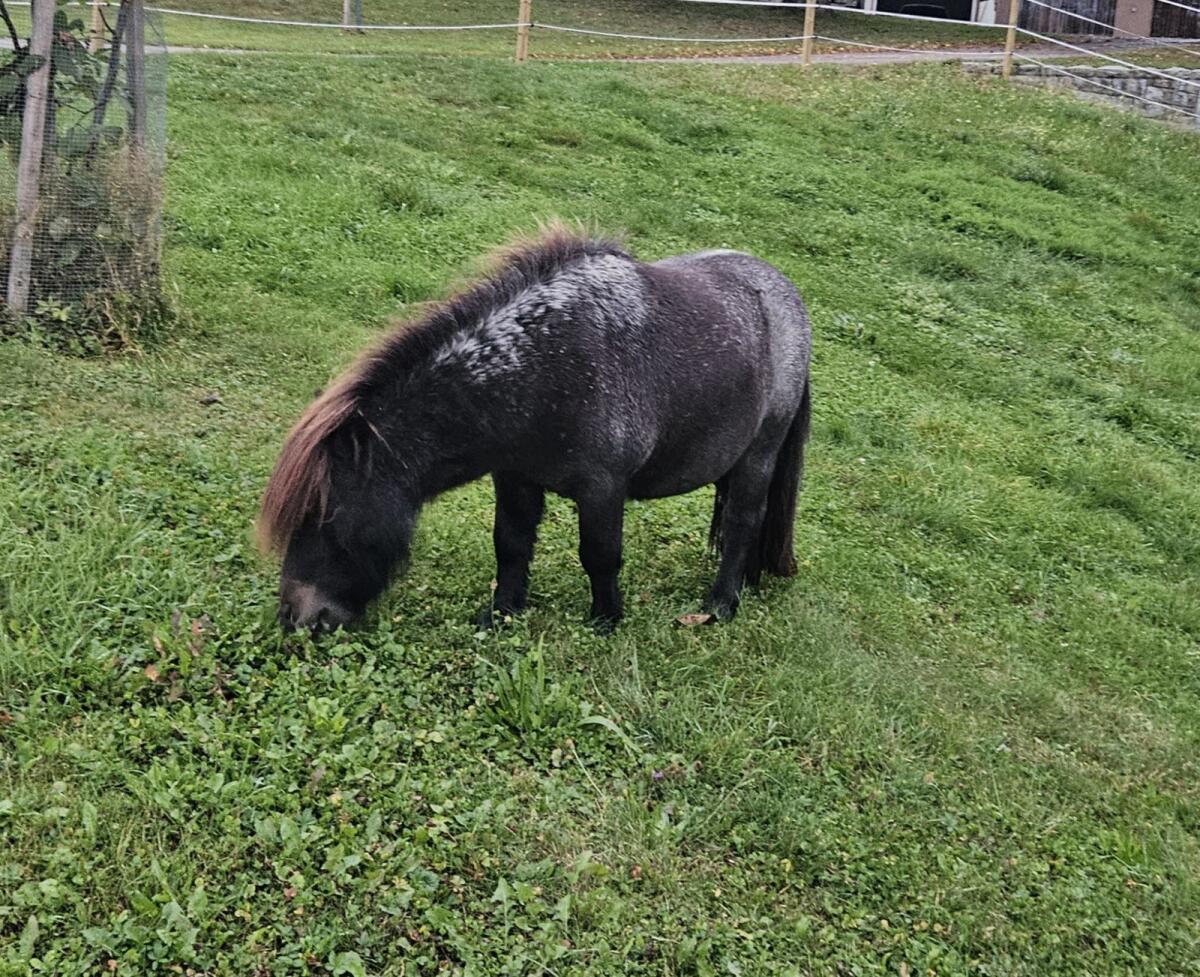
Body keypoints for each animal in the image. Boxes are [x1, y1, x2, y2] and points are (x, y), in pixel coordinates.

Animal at [258, 228, 811, 634]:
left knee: (741, 523)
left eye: (328, 517)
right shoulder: (515, 478)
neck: (548, 366)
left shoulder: (603, 488)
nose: (296, 619)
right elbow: (511, 544)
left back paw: (720, 605)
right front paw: (501, 613)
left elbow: (600, 555)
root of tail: (786, 295)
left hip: (759, 455)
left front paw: (607, 620)